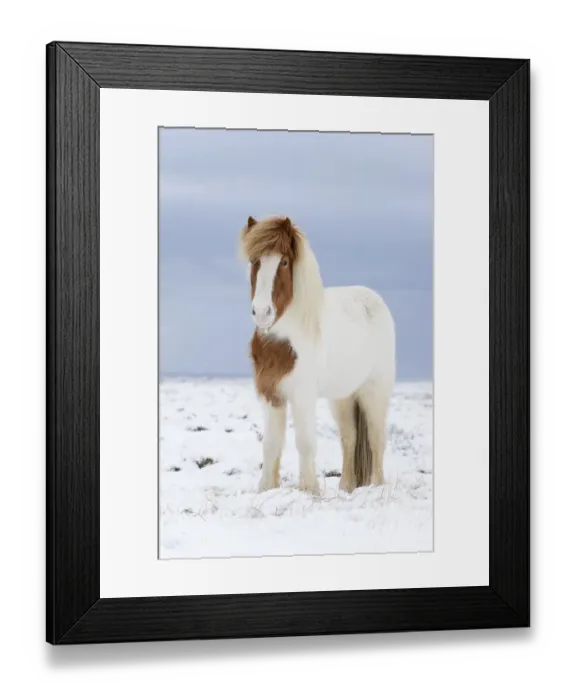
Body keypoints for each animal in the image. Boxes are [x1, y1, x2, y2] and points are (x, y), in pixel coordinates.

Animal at [239, 215, 396, 495]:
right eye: (254, 260)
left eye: (284, 261)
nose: (262, 312)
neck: (284, 342)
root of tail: (374, 299)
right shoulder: (272, 396)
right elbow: (270, 444)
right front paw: (266, 488)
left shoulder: (302, 396)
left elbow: (304, 442)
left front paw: (310, 490)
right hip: (343, 396)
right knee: (350, 437)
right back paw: (346, 487)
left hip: (374, 391)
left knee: (376, 439)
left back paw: (376, 487)